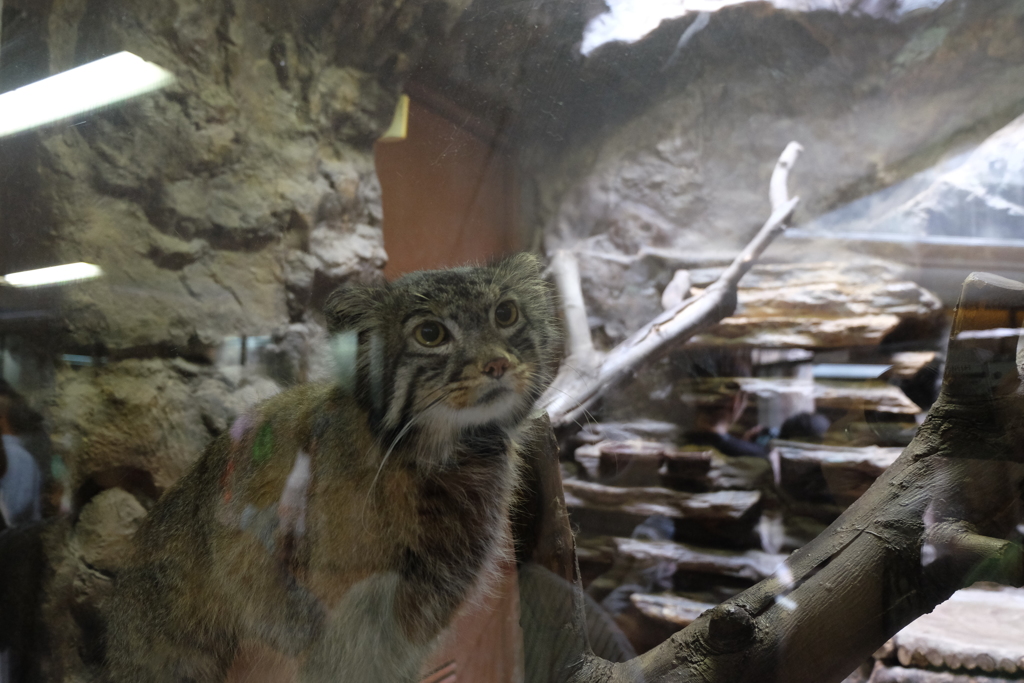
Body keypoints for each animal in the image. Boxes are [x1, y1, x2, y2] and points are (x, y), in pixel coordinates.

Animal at [105, 254, 561, 683]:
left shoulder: (420, 618)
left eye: (506, 313)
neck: (448, 459)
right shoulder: (341, 623)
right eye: (430, 334)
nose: (497, 364)